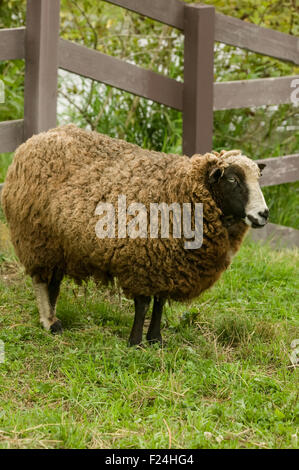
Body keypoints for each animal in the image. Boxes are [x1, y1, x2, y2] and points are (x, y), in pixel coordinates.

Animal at [0, 125, 270, 346]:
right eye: (232, 179)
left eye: (259, 179)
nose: (264, 214)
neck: (179, 190)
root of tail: (35, 138)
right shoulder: (142, 263)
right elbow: (142, 305)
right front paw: (135, 342)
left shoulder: (167, 266)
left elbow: (159, 304)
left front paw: (155, 340)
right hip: (37, 237)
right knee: (42, 282)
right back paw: (49, 323)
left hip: (59, 244)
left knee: (53, 282)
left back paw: (53, 319)